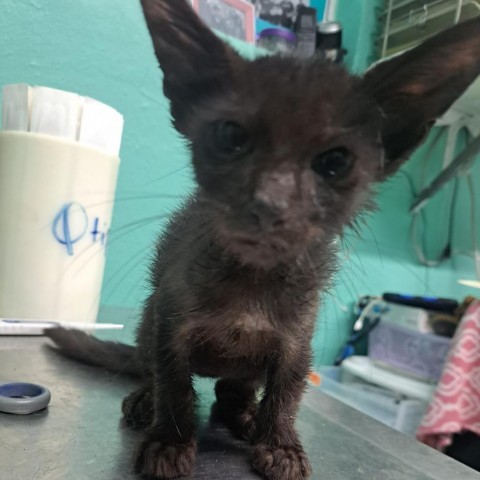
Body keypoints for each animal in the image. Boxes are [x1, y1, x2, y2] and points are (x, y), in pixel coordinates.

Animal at [47, 1, 480, 478]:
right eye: (230, 136)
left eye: (335, 161)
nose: (269, 204)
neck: (251, 280)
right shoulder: (168, 321)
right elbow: (174, 384)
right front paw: (170, 441)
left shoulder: (296, 342)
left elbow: (287, 393)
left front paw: (280, 444)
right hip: (147, 319)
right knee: (150, 370)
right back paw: (148, 399)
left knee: (230, 391)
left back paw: (245, 415)